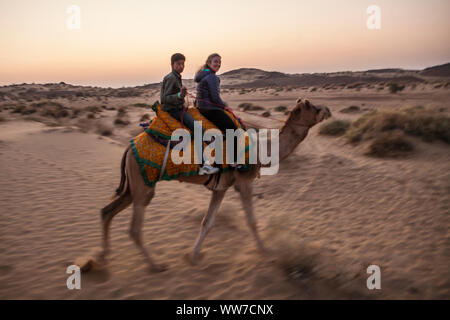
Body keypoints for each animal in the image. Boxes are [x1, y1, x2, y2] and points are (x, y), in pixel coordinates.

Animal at [93, 97, 330, 270]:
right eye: (311, 106)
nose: (327, 109)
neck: (261, 149)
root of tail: (129, 147)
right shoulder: (244, 182)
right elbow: (251, 220)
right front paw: (266, 251)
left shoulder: (221, 186)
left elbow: (207, 222)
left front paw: (192, 256)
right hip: (144, 186)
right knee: (134, 229)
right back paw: (156, 265)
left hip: (134, 185)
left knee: (107, 211)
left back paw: (101, 258)